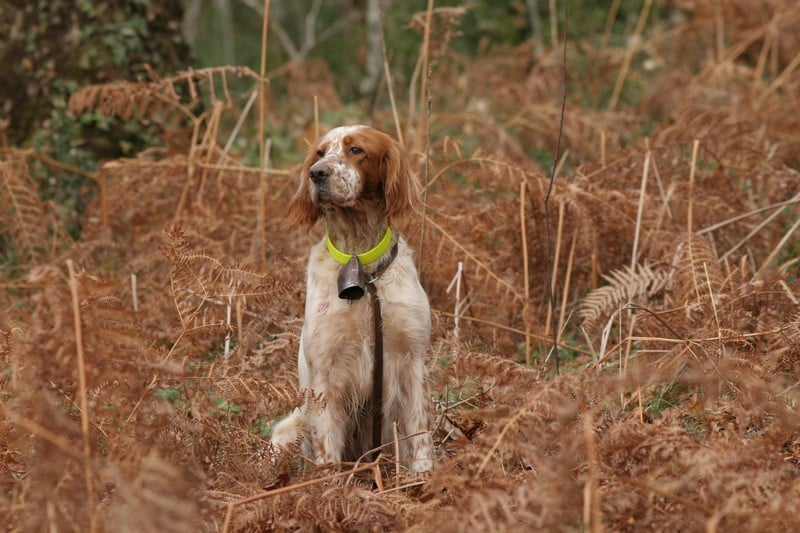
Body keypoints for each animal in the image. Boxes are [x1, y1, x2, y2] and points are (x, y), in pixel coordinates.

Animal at [274, 125, 438, 474]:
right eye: (320, 152)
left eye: (356, 150)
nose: (316, 173)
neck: (363, 266)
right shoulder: (325, 372)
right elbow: (327, 447)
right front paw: (329, 485)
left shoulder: (412, 360)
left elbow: (420, 433)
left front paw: (424, 477)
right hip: (287, 431)